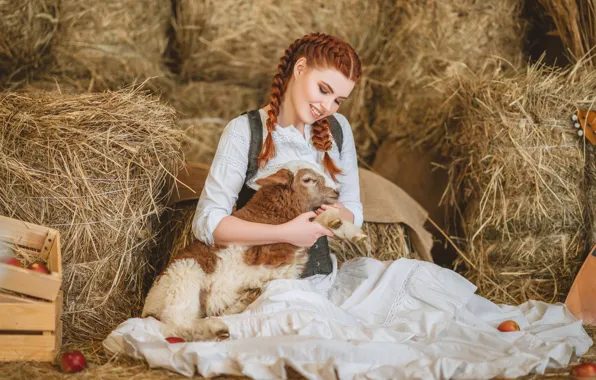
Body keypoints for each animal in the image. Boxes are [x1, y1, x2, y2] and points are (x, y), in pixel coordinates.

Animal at [144, 160, 368, 342]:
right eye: (308, 179)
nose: (337, 193)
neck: (273, 213)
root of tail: (148, 306)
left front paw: (351, 230)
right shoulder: (269, 250)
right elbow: (311, 222)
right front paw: (333, 221)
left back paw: (243, 300)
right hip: (183, 278)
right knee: (177, 324)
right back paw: (215, 329)